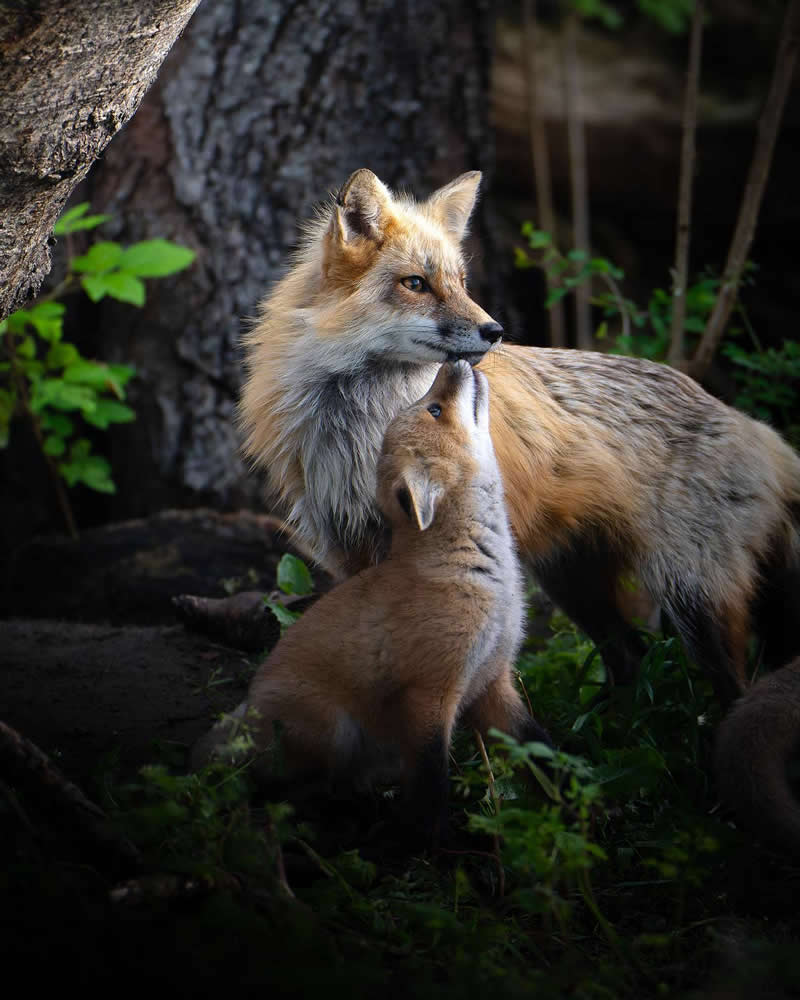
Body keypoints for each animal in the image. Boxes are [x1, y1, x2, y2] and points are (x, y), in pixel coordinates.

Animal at [195, 360, 550, 835]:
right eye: (435, 409)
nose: (453, 362)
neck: (484, 577)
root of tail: (246, 708)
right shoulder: (428, 695)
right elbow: (430, 786)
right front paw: (426, 843)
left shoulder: (492, 682)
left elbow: (541, 750)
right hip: (334, 728)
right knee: (293, 793)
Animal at [238, 167, 800, 850]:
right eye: (415, 283)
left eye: (460, 280)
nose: (495, 332)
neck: (358, 422)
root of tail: (759, 430)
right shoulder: (350, 555)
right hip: (578, 588)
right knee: (631, 660)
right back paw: (604, 749)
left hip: (695, 602)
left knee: (733, 690)